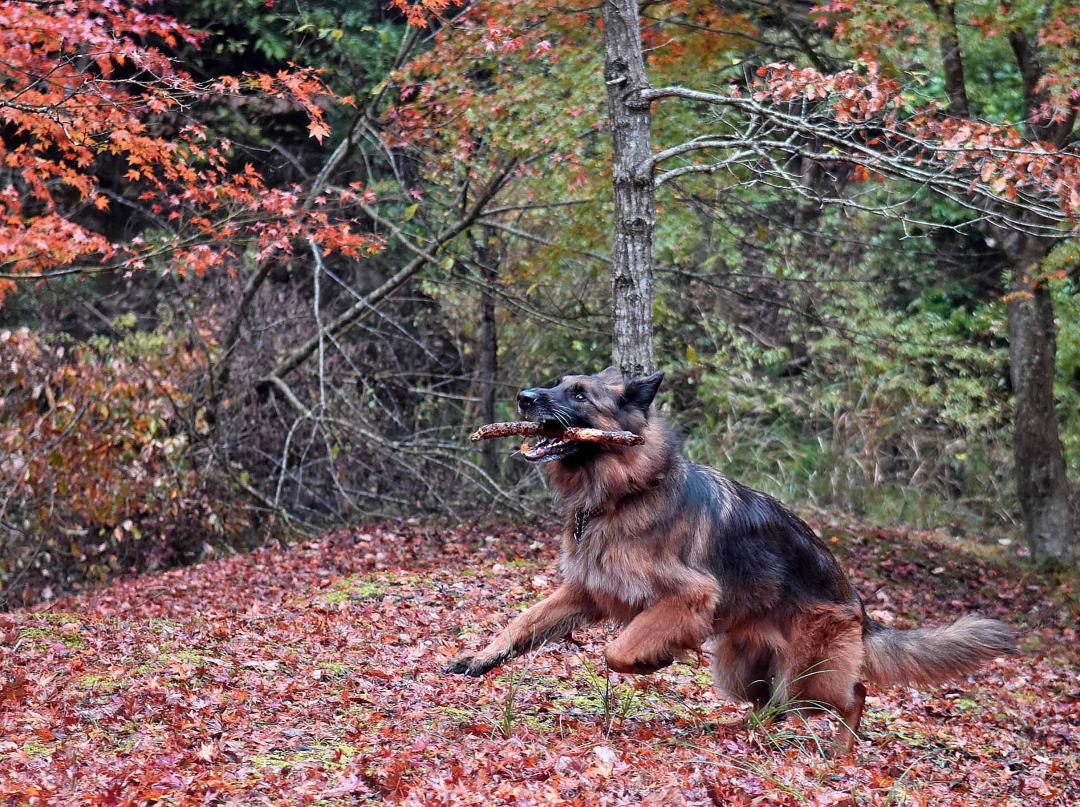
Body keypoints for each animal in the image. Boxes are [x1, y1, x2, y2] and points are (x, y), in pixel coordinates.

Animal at [444, 369, 1010, 756]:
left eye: (579, 394)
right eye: (558, 383)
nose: (524, 398)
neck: (625, 490)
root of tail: (859, 605)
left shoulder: (690, 596)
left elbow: (617, 650)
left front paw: (653, 659)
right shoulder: (584, 590)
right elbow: (522, 622)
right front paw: (479, 657)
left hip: (811, 674)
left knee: (854, 693)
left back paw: (842, 752)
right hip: (740, 669)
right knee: (772, 706)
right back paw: (739, 732)